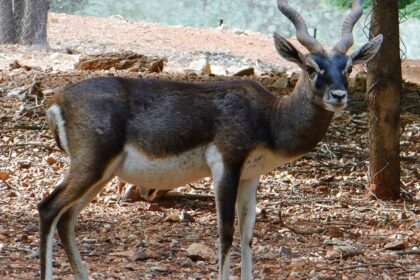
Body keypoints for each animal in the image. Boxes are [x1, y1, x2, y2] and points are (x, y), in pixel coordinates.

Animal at [39, 1, 384, 278]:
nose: (338, 96)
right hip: (92, 165)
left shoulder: (251, 176)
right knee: (48, 208)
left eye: (348, 67)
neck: (269, 117)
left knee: (67, 219)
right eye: (312, 67)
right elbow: (225, 232)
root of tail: (58, 100)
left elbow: (247, 233)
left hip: (103, 173)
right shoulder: (226, 166)